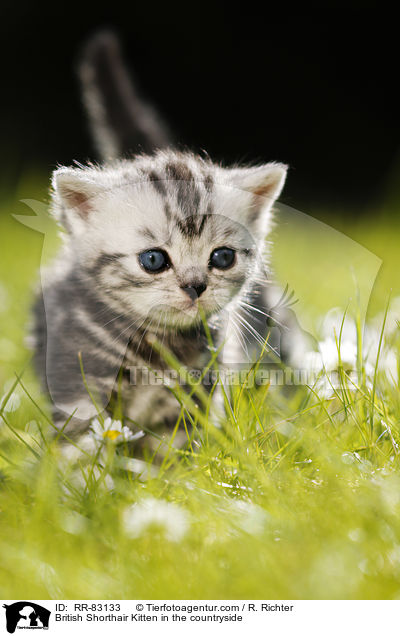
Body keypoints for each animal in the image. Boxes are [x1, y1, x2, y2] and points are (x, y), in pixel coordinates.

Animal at [32, 32, 286, 434]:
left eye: (223, 257)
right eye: (153, 259)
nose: (195, 287)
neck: (157, 345)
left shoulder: (194, 395)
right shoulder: (78, 382)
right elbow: (85, 440)